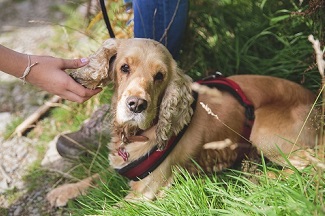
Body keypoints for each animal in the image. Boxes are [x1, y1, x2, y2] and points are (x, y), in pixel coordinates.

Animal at [46, 38, 318, 207]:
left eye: (159, 76)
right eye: (124, 68)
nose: (136, 104)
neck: (138, 133)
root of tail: (317, 101)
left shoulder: (144, 194)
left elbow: (109, 209)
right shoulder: (124, 168)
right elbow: (98, 176)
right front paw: (62, 191)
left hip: (265, 134)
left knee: (310, 166)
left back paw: (256, 178)